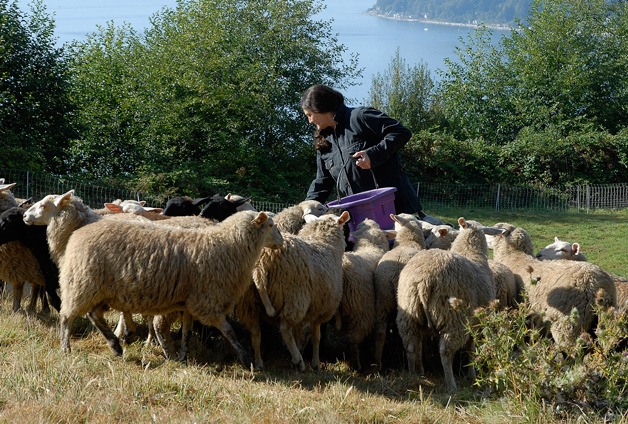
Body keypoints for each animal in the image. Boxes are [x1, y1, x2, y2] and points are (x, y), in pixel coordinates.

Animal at [56, 210, 282, 364]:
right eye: (271, 225)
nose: (281, 243)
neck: (229, 246)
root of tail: (78, 234)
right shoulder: (206, 303)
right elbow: (229, 331)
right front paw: (245, 357)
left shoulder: (189, 304)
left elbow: (187, 332)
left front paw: (183, 355)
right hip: (81, 283)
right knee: (67, 317)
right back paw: (66, 348)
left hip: (102, 291)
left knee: (94, 315)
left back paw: (115, 345)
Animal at [372, 214, 426, 370]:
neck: (407, 242)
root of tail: (394, 272)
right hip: (408, 303)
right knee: (414, 340)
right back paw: (417, 369)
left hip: (382, 297)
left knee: (380, 331)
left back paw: (378, 363)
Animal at [398, 219, 500, 390]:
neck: (471, 253)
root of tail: (424, 280)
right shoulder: (476, 322)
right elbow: (471, 349)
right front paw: (472, 375)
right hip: (453, 318)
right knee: (445, 352)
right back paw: (451, 385)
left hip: (409, 314)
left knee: (411, 346)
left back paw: (414, 375)